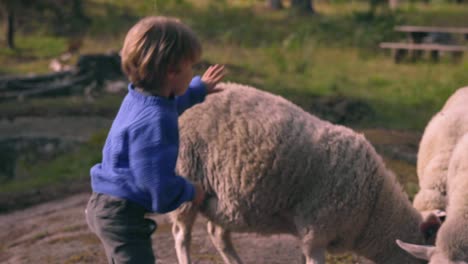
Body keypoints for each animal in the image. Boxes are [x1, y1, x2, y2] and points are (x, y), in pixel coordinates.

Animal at [170, 82, 434, 264]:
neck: (374, 207)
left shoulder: (312, 232)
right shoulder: (316, 231)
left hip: (227, 200)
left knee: (218, 233)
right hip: (186, 176)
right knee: (182, 234)